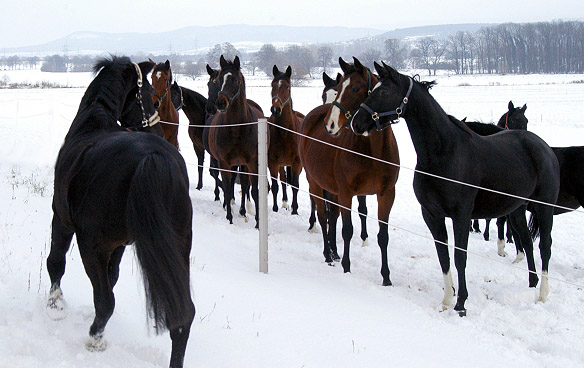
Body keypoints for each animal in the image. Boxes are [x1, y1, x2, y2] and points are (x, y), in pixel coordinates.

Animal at [46, 55, 195, 368]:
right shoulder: (120, 246)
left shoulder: (61, 218)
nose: (156, 129)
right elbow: (111, 279)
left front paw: (55, 305)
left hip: (90, 244)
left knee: (105, 300)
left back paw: (95, 338)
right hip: (179, 246)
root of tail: (154, 158)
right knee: (182, 318)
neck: (92, 121)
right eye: (150, 92)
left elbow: (56, 262)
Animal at [209, 55, 266, 227]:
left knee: (246, 186)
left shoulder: (252, 162)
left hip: (244, 164)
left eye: (235, 80)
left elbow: (254, 191)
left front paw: (258, 222)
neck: (237, 128)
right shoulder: (224, 163)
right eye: (220, 79)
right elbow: (228, 189)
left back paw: (242, 210)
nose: (221, 103)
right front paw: (229, 217)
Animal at [298, 58, 400, 288]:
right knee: (323, 216)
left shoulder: (386, 194)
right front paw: (346, 267)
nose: (330, 124)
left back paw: (333, 252)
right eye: (340, 87)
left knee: (332, 216)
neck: (373, 152)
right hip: (316, 183)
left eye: (355, 88)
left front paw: (386, 277)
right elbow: (347, 230)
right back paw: (328, 254)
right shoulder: (346, 193)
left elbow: (383, 236)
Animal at [352, 61, 560, 314]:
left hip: (544, 208)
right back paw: (532, 282)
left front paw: (461, 303)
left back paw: (543, 294)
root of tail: (543, 147)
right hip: (517, 209)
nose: (356, 122)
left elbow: (460, 257)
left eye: (383, 92)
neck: (444, 154)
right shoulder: (432, 215)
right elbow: (443, 256)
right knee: (528, 242)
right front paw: (446, 300)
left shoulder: (461, 216)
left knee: (545, 246)